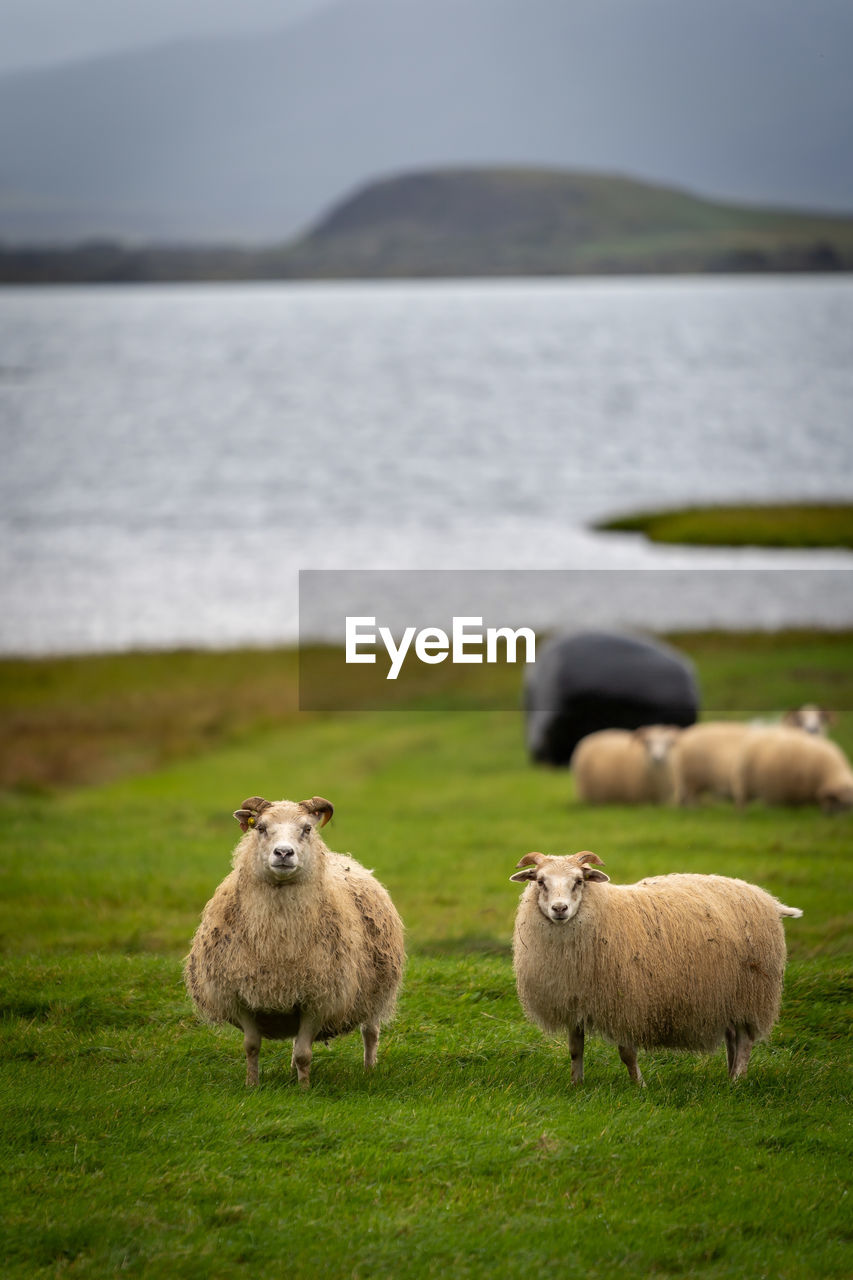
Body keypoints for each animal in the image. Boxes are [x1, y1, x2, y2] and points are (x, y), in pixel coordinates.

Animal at [184, 793, 404, 1085]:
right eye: (261, 827)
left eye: (307, 828)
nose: (284, 853)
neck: (277, 942)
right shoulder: (240, 996)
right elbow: (251, 1046)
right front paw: (252, 1085)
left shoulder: (318, 1000)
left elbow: (304, 1054)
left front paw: (304, 1088)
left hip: (374, 993)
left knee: (370, 1032)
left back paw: (369, 1071)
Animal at [507, 849, 799, 1080]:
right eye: (540, 881)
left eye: (579, 881)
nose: (560, 909)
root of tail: (766, 898)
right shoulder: (573, 998)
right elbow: (575, 1050)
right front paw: (576, 1085)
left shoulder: (626, 1003)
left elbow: (626, 1053)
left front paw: (640, 1087)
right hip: (726, 993)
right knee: (733, 1037)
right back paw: (729, 1075)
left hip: (752, 991)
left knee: (746, 1040)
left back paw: (737, 1079)